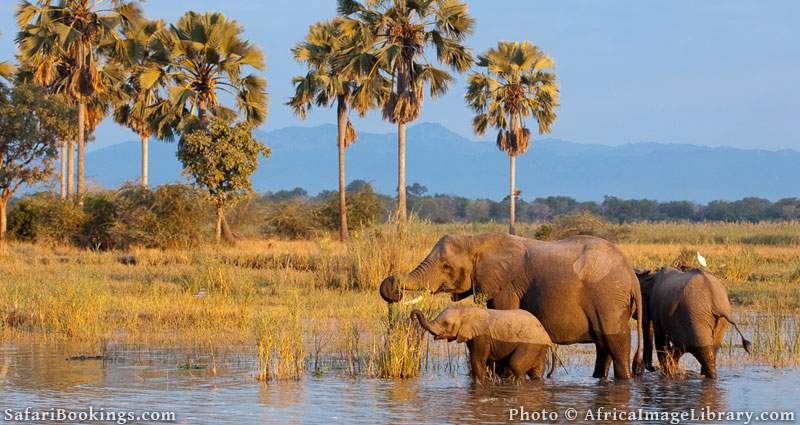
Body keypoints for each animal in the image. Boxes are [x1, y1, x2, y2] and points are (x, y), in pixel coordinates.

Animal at [412, 306, 556, 380]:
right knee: (536, 372)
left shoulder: (482, 336)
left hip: (530, 345)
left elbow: (478, 360)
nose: (412, 314)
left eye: (446, 323)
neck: (465, 310)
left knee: (516, 366)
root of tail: (547, 336)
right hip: (539, 348)